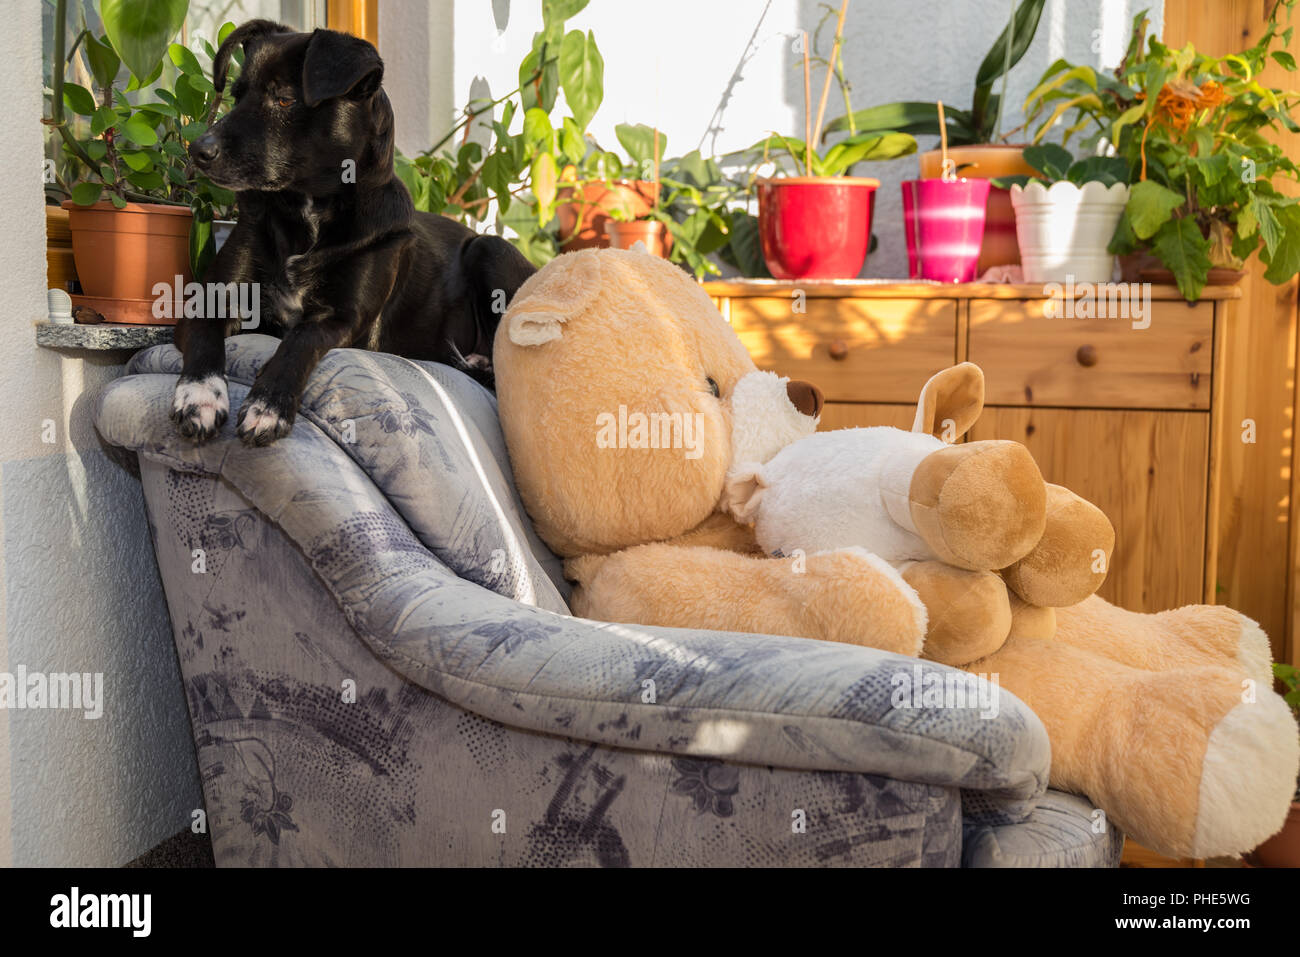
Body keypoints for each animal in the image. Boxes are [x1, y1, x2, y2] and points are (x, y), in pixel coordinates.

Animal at [175, 18, 535, 444]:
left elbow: (299, 340)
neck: (308, 210)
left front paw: (268, 405)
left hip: (490, 248)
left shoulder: (344, 321)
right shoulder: (213, 297)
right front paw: (199, 396)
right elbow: (204, 336)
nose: (197, 150)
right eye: (236, 95)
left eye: (284, 100)